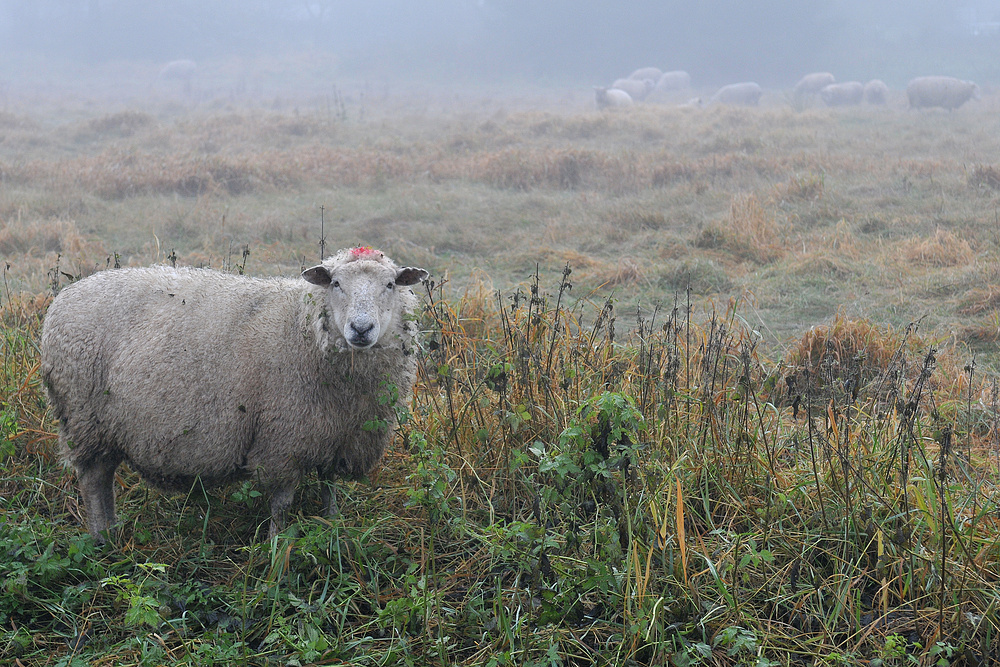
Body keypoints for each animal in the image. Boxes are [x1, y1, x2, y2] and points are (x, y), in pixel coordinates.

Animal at [42, 247, 430, 544]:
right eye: (336, 283)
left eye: (390, 284)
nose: (361, 329)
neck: (303, 325)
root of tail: (60, 302)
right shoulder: (282, 441)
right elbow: (282, 503)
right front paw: (276, 545)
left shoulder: (335, 437)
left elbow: (329, 487)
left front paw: (333, 527)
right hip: (84, 416)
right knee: (93, 480)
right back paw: (101, 539)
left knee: (104, 477)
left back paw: (112, 532)